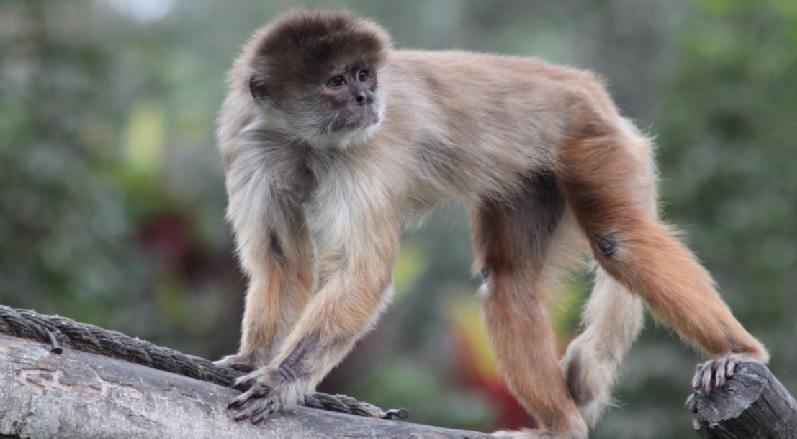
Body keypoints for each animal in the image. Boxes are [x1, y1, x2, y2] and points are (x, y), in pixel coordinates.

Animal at [215, 9, 769, 438]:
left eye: (364, 76)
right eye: (337, 81)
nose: (364, 100)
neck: (305, 140)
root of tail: (583, 86)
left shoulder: (366, 146)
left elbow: (361, 273)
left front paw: (280, 380)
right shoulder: (252, 139)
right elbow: (281, 261)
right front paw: (253, 359)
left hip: (588, 138)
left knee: (619, 241)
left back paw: (739, 351)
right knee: (508, 282)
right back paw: (561, 425)